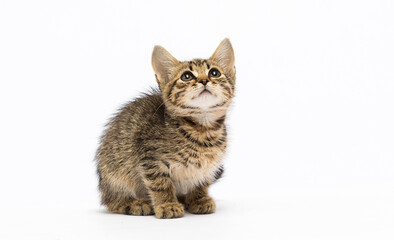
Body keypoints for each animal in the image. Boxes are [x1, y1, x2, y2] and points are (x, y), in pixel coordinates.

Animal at [96, 38, 235, 218]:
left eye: (214, 73)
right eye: (187, 76)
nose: (204, 80)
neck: (203, 129)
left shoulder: (207, 166)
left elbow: (201, 180)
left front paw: (199, 198)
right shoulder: (151, 159)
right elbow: (161, 184)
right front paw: (167, 204)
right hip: (115, 174)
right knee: (112, 202)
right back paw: (135, 203)